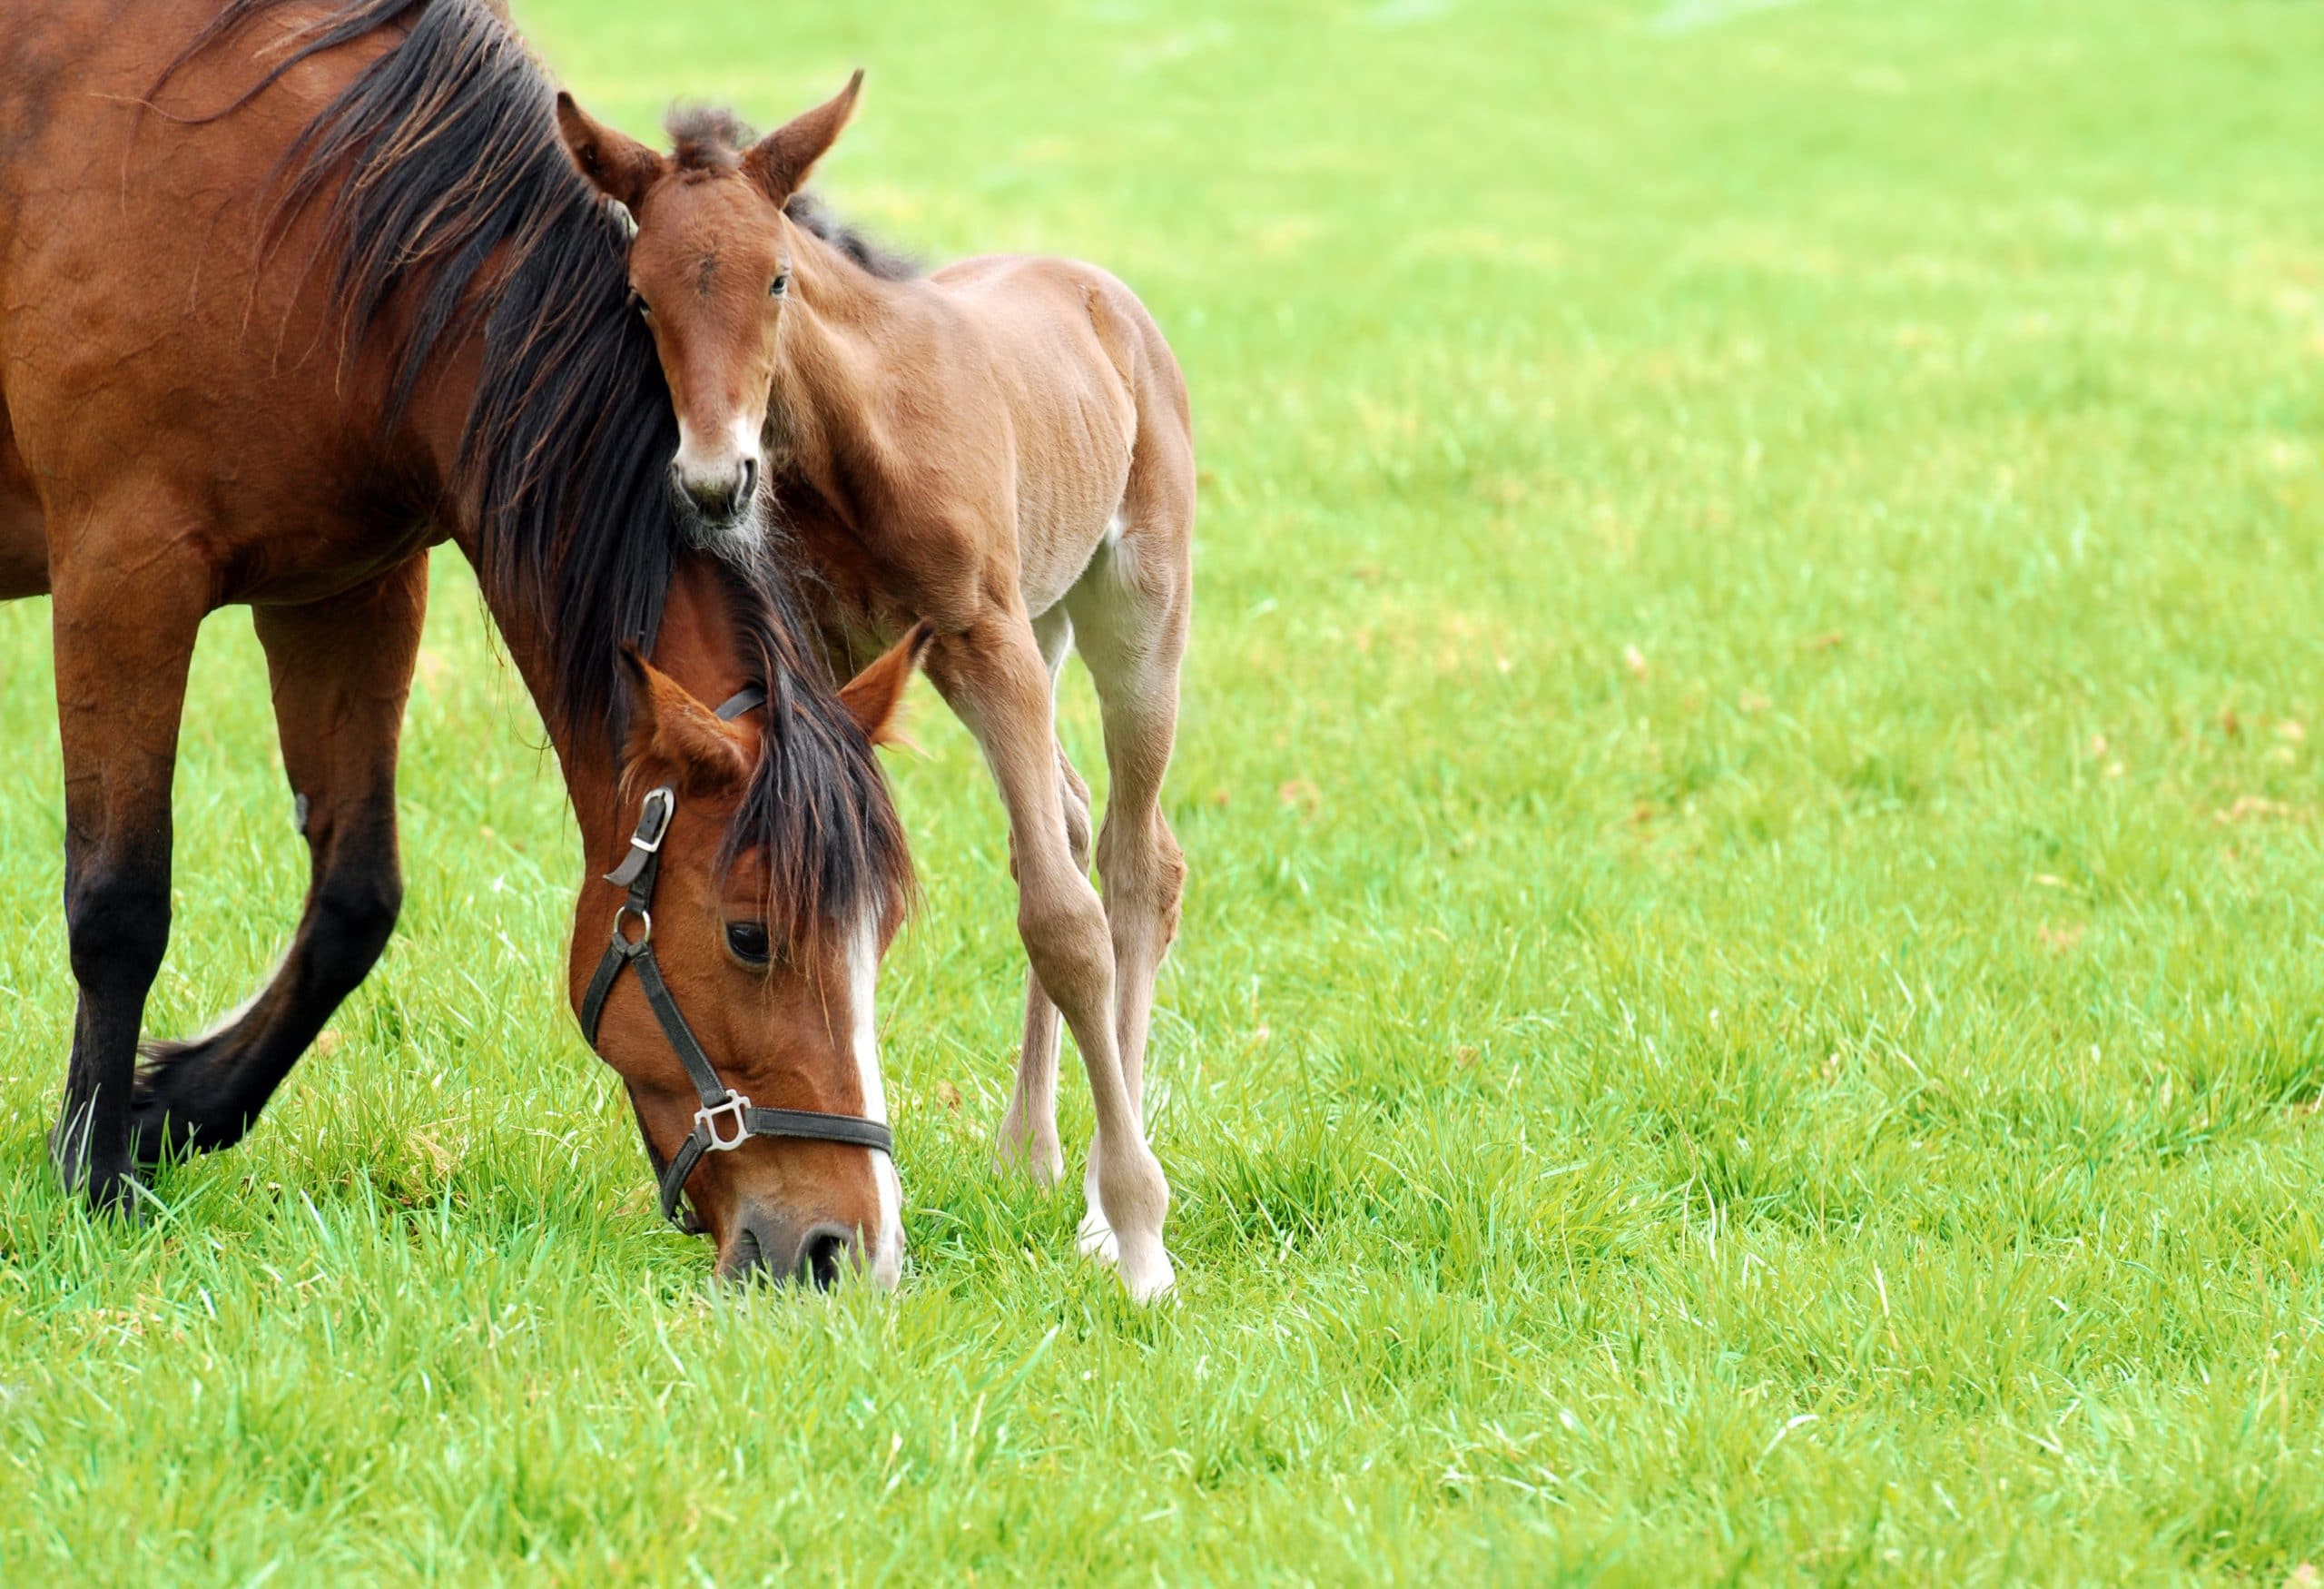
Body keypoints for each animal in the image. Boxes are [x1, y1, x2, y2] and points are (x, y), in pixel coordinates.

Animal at [0, 0, 924, 1282]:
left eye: (880, 934)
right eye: (749, 936)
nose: (848, 1249)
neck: (318, 224)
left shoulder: (350, 588)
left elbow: (355, 898)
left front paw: (171, 1105)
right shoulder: (123, 574)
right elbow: (119, 902)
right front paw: (93, 1171)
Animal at [553, 74, 1189, 1300]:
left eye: (776, 279)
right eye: (639, 297)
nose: (714, 480)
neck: (856, 431)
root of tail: (1105, 295)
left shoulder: (985, 632)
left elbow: (1064, 921)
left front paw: (1139, 1239)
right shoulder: (848, 649)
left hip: (1129, 609)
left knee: (1136, 861)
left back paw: (1100, 1202)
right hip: (1026, 635)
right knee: (1071, 818)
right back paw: (1028, 1150)